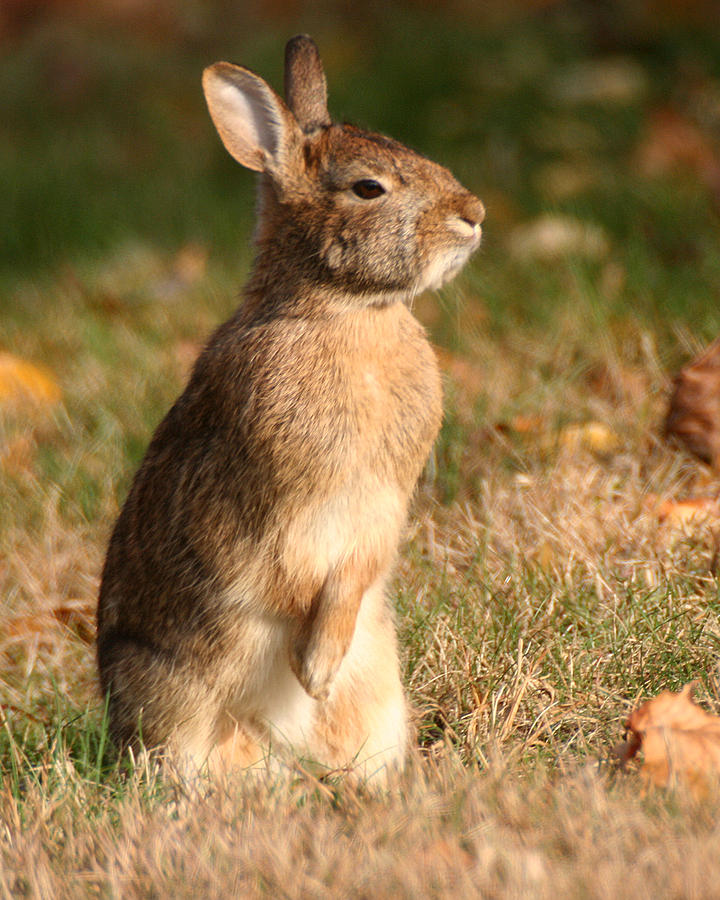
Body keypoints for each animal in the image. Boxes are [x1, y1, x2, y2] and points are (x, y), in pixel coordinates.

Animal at [95, 33, 486, 780]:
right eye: (368, 188)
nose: (473, 215)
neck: (346, 313)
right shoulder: (283, 510)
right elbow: (298, 575)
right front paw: (312, 669)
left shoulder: (378, 511)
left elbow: (353, 575)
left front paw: (315, 672)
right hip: (167, 693)